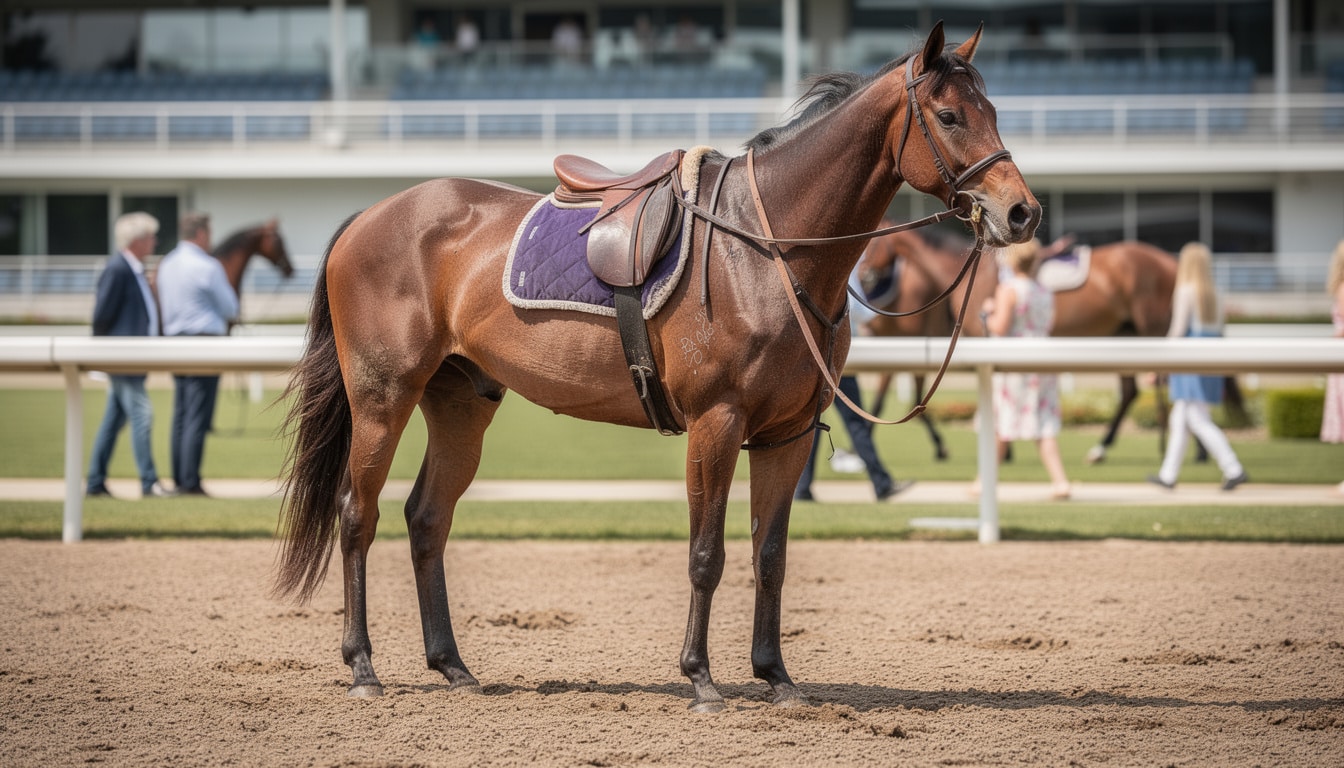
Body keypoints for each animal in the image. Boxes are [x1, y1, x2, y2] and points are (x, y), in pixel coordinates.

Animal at [275, 23, 1040, 711]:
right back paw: (363, 667)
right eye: (949, 115)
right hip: (383, 399)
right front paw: (700, 679)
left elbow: (770, 555)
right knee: (357, 515)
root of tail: (370, 216)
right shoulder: (716, 424)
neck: (765, 249)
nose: (1021, 212)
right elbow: (707, 553)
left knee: (427, 518)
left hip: (462, 404)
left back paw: (452, 666)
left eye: (995, 112)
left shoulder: (788, 434)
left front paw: (776, 676)